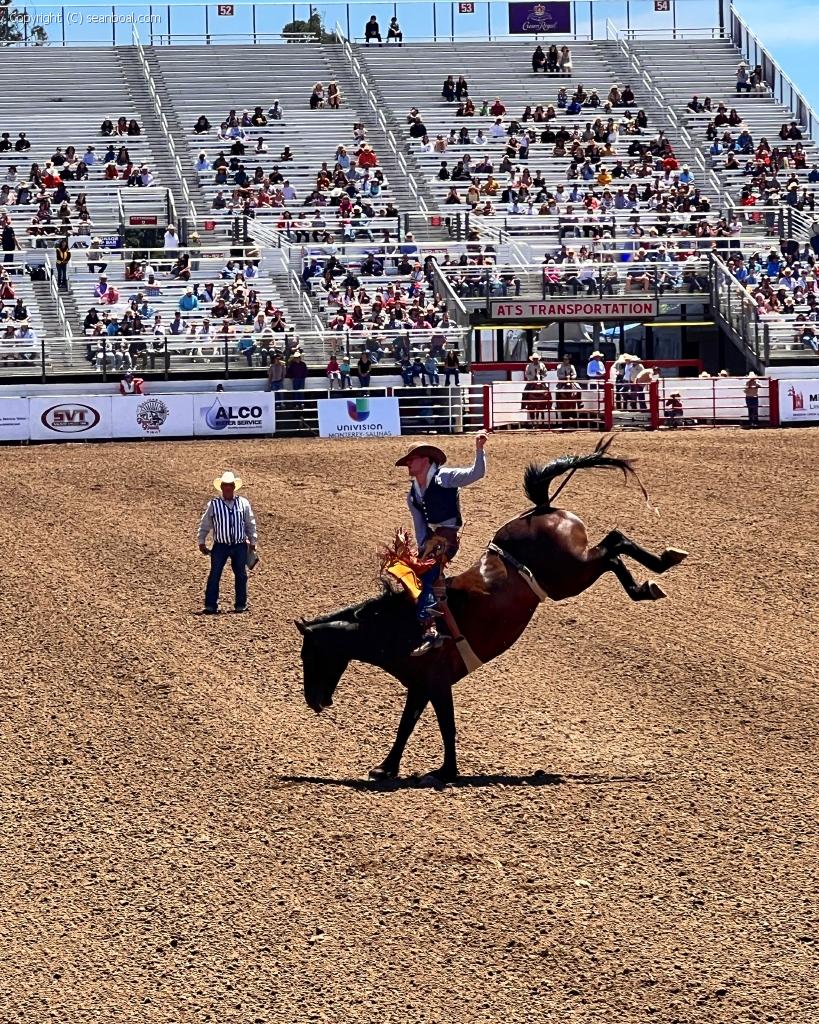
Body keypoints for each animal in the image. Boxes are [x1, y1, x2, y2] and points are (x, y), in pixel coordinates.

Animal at [295, 439, 687, 784]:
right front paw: (397, 768)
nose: (313, 701)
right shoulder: (424, 686)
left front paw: (435, 772)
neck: (398, 626)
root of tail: (541, 509)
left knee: (614, 544)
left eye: (309, 656)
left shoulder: (434, 683)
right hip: (571, 573)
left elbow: (435, 726)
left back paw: (661, 567)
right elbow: (418, 725)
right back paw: (654, 577)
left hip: (570, 575)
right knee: (613, 549)